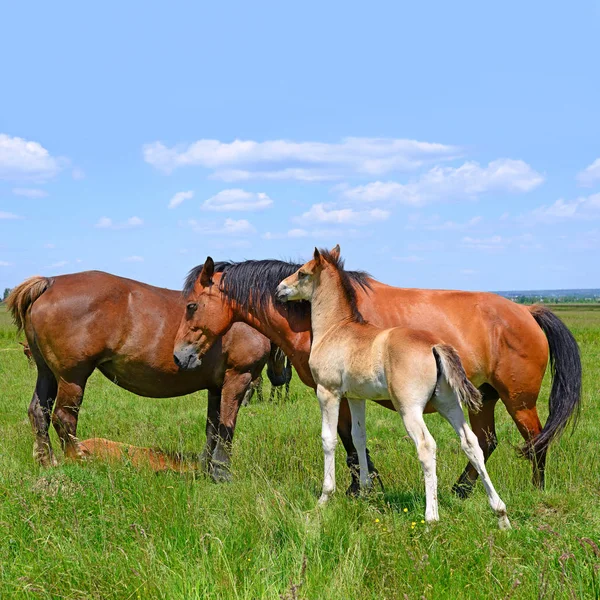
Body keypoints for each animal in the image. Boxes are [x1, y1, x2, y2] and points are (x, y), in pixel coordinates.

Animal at [7, 272, 282, 482]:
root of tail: (50, 282)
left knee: (38, 412)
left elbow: (212, 429)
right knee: (63, 418)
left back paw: (47, 461)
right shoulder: (237, 378)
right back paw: (79, 459)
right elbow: (226, 428)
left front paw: (206, 468)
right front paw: (222, 473)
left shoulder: (216, 387)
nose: (280, 381)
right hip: (71, 377)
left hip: (47, 373)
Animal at [172, 253, 580, 496]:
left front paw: (361, 488)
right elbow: (353, 440)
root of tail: (527, 310)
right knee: (486, 441)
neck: (323, 315)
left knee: (536, 439)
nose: (179, 356)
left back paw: (536, 490)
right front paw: (366, 486)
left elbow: (350, 442)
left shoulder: (335, 392)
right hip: (483, 397)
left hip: (518, 399)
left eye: (191, 306)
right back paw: (460, 491)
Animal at [274, 246, 508, 528]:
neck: (335, 328)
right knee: (471, 443)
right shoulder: (356, 398)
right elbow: (359, 437)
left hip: (409, 408)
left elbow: (328, 439)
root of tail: (435, 346)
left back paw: (431, 518)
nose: (279, 288)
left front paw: (324, 498)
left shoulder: (328, 392)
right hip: (449, 404)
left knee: (426, 446)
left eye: (302, 272)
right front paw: (365, 492)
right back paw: (501, 514)